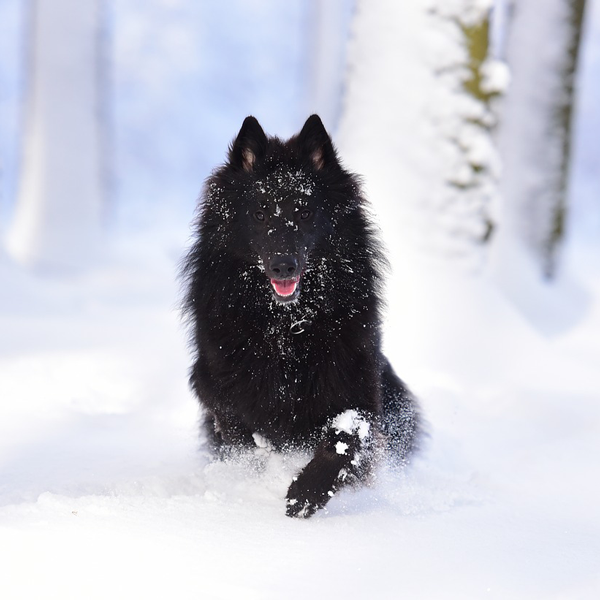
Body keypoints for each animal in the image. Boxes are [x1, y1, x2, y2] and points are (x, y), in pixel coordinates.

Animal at [184, 116, 422, 516]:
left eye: (305, 212)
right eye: (260, 213)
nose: (283, 266)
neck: (286, 325)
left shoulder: (357, 389)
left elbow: (343, 441)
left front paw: (306, 492)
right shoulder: (215, 386)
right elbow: (243, 434)